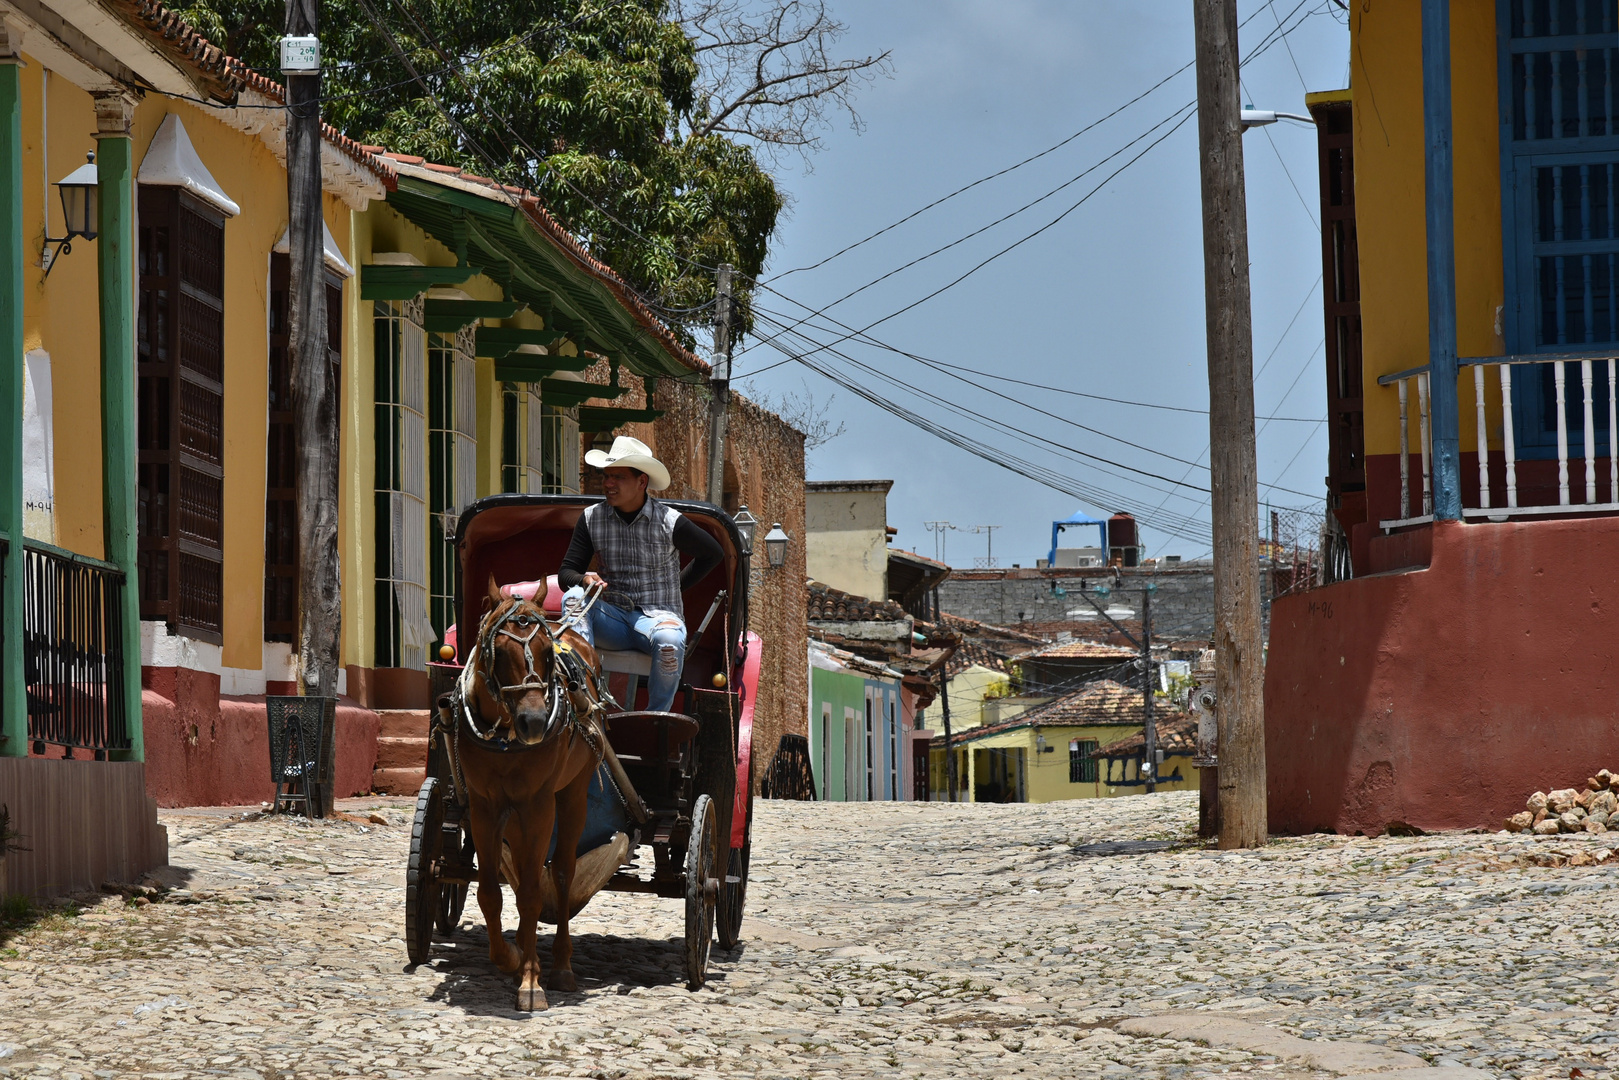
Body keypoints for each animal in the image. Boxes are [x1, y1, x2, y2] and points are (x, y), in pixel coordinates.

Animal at [456, 579, 608, 1010]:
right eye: (500, 652)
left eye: (545, 652)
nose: (536, 722)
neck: (505, 736)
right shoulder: (484, 807)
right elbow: (491, 893)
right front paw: (510, 958)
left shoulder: (538, 806)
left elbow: (530, 895)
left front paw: (530, 981)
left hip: (571, 795)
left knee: (561, 873)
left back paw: (559, 967)